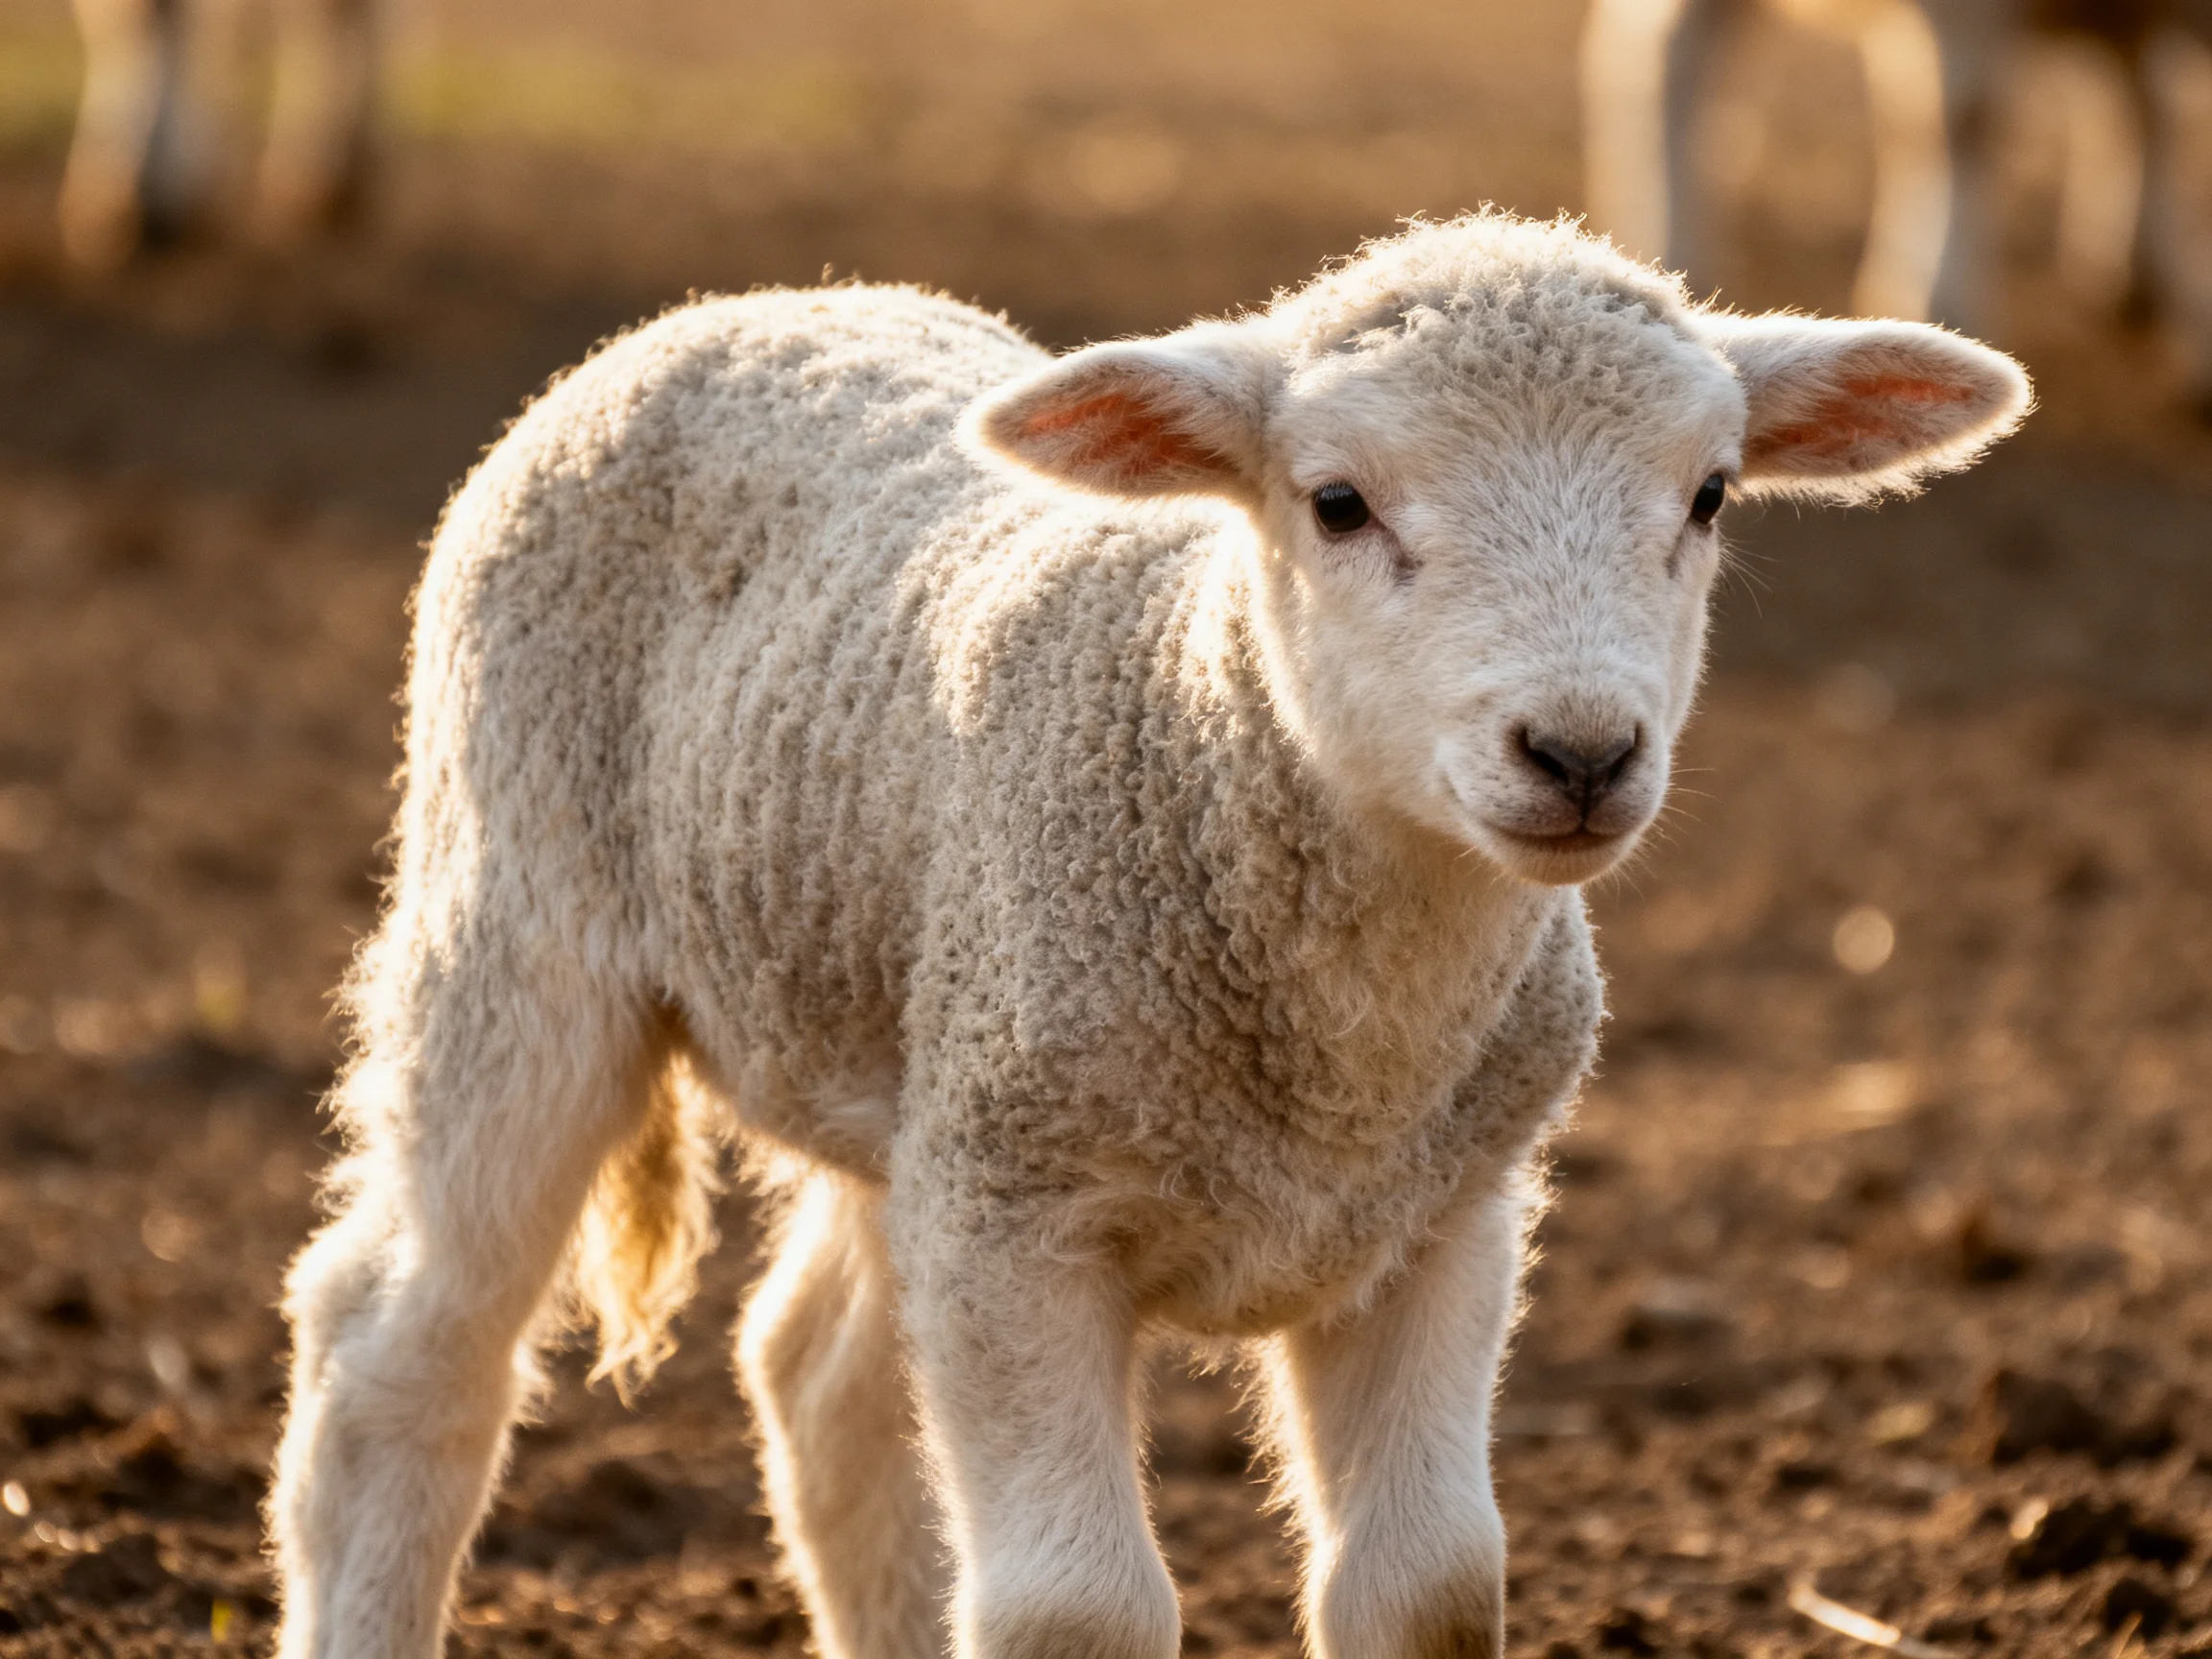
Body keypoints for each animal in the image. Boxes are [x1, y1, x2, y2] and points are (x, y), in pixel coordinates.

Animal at [267, 212, 2029, 1659]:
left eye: (1708, 495)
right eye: (1336, 503)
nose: (1580, 752)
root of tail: (743, 304)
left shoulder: (1442, 1211)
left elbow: (1428, 1586)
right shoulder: (1020, 1213)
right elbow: (1074, 1609)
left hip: (903, 1039)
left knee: (820, 1377)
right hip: (517, 918)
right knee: (402, 1350)